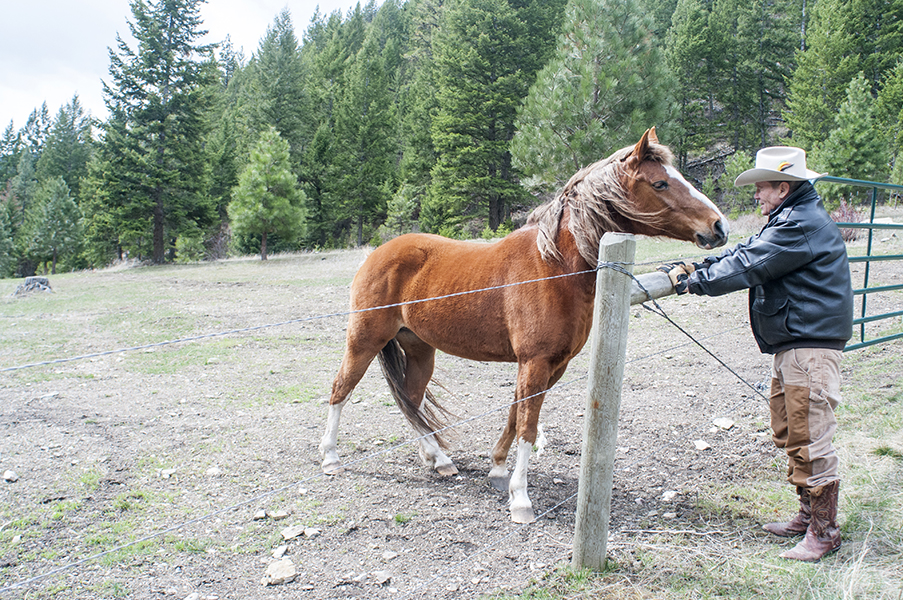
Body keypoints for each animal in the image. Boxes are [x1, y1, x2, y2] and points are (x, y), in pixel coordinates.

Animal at [318, 129, 728, 524]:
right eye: (660, 183)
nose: (719, 226)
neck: (553, 266)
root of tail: (377, 253)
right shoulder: (534, 362)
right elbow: (528, 427)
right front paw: (520, 499)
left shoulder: (552, 365)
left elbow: (516, 416)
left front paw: (498, 471)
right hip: (364, 341)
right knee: (341, 390)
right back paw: (331, 458)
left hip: (420, 349)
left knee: (411, 400)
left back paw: (438, 459)